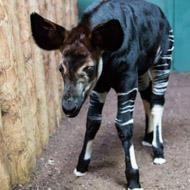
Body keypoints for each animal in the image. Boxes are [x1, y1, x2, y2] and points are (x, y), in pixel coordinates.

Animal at [30, 0, 174, 189]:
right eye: (60, 68)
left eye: (90, 69)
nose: (68, 107)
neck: (109, 56)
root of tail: (161, 13)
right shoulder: (100, 84)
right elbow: (92, 120)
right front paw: (81, 165)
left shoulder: (126, 79)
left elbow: (123, 124)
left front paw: (133, 178)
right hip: (142, 69)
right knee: (147, 93)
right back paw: (148, 137)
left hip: (162, 60)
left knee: (158, 101)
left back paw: (158, 151)